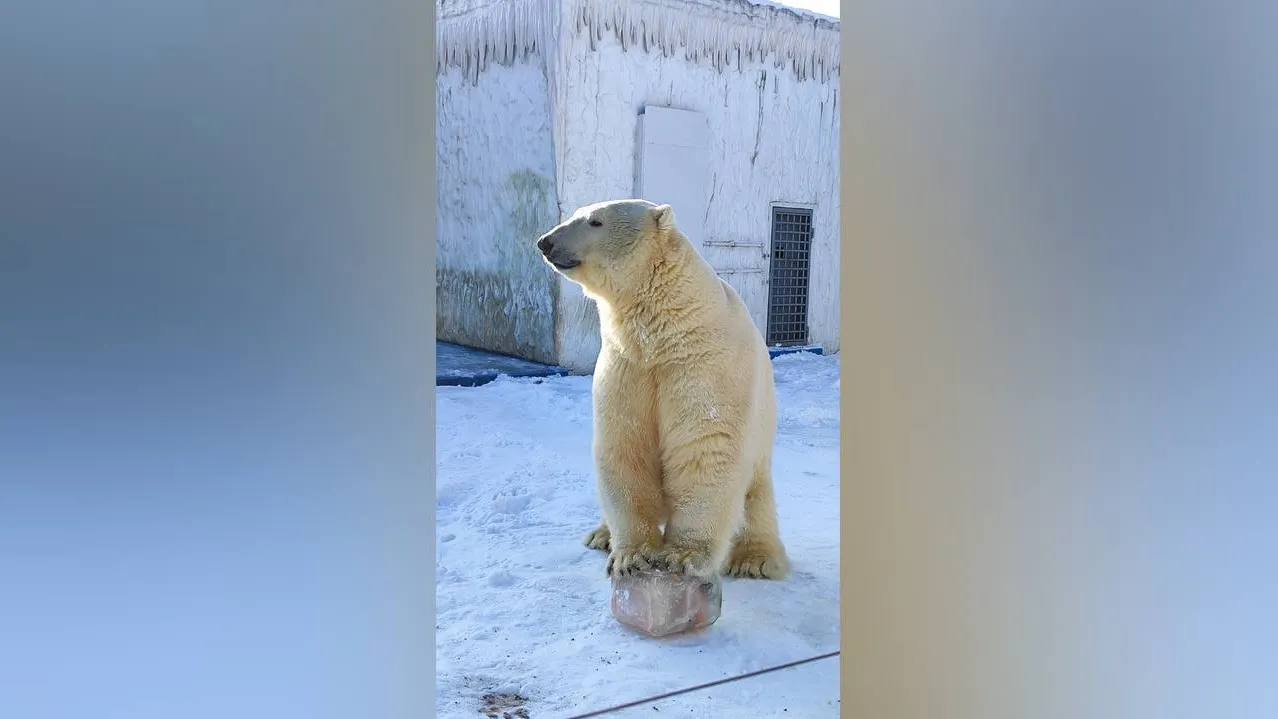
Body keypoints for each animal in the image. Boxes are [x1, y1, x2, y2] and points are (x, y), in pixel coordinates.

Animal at [531, 199, 787, 582]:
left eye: (595, 221)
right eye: (576, 214)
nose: (545, 242)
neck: (667, 331)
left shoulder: (703, 365)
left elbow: (706, 447)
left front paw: (682, 555)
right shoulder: (627, 365)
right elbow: (626, 445)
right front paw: (632, 556)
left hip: (760, 446)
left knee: (755, 501)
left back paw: (755, 559)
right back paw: (601, 535)